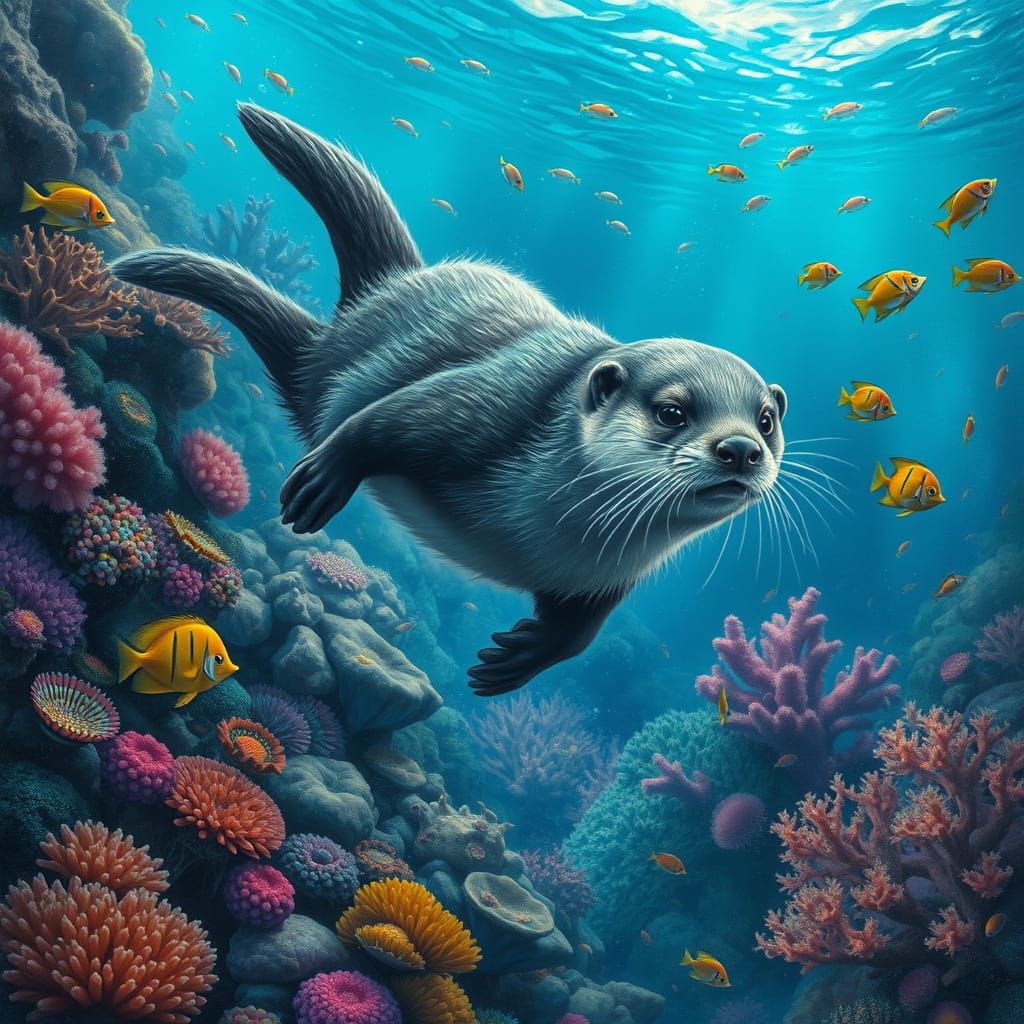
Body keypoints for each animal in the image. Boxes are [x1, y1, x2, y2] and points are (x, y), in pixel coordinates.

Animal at [112, 103, 788, 696]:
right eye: (672, 411)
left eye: (765, 419)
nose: (740, 448)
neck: (556, 531)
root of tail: (388, 289)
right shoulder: (497, 401)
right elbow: (395, 418)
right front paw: (325, 476)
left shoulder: (601, 580)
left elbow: (578, 632)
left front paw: (517, 657)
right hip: (320, 373)